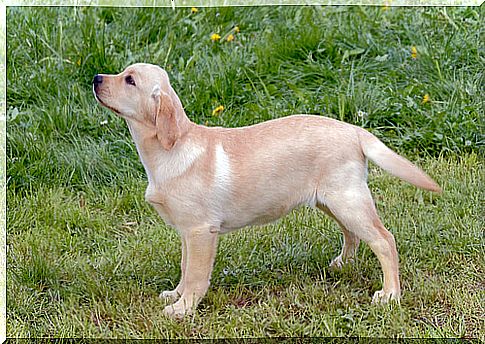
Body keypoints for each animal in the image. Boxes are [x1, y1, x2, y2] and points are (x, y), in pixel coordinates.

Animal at [92, 62, 440, 318]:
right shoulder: (186, 233)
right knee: (352, 235)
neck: (170, 147)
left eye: (130, 80)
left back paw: (390, 294)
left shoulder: (201, 231)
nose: (96, 78)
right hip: (332, 201)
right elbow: (185, 267)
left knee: (384, 241)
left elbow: (196, 275)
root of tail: (354, 130)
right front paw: (175, 295)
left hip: (347, 201)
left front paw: (183, 308)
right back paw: (343, 264)